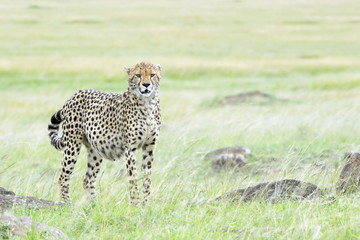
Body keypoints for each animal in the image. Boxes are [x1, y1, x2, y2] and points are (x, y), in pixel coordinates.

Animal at [47, 61, 162, 204]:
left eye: (152, 75)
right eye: (138, 75)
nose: (146, 85)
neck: (147, 103)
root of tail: (76, 94)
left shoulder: (149, 146)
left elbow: (147, 178)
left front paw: (145, 204)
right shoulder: (130, 148)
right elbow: (133, 178)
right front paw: (135, 204)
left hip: (95, 150)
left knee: (87, 180)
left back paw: (94, 205)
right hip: (72, 145)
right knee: (63, 177)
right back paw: (68, 204)